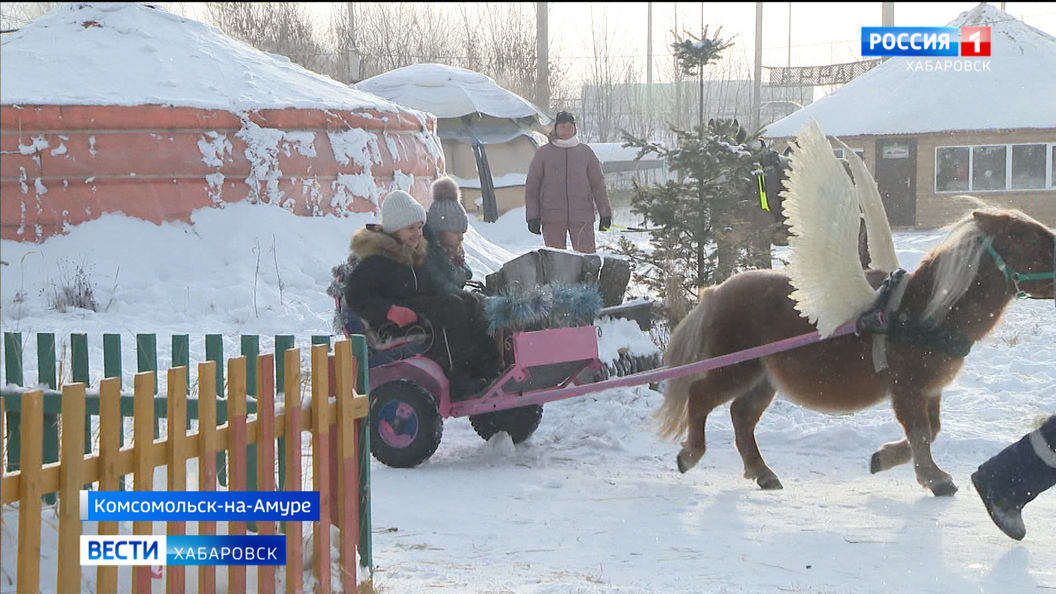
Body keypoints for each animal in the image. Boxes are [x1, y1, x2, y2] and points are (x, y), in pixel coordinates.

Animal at [658, 206, 1056, 492]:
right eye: (1028, 238)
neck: (924, 311)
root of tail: (716, 292)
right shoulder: (907, 388)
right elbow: (921, 431)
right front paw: (934, 478)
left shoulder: (929, 389)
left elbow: (932, 429)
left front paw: (884, 458)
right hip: (735, 368)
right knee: (700, 398)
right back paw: (691, 454)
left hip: (763, 377)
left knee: (741, 416)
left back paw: (761, 472)